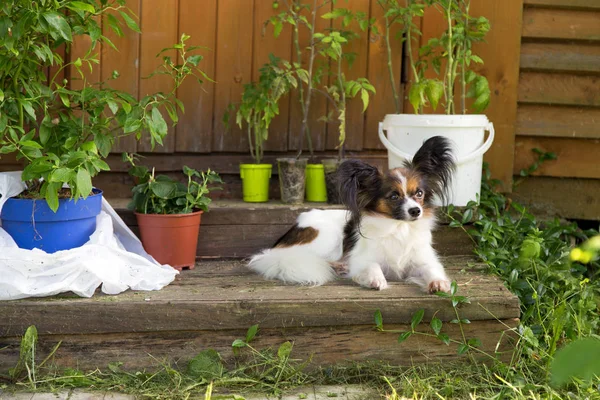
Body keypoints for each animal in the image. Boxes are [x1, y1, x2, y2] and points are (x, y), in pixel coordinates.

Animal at [247, 136, 454, 292]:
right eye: (394, 196)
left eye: (419, 194)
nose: (416, 211)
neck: (398, 228)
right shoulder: (362, 259)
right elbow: (372, 265)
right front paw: (376, 278)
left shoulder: (423, 259)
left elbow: (432, 269)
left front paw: (438, 282)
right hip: (328, 238)